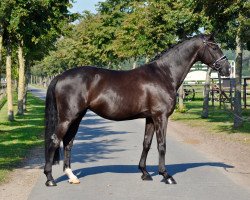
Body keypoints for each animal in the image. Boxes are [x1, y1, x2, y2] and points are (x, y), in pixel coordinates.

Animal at [44, 34, 230, 186]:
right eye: (214, 47)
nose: (227, 69)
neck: (163, 74)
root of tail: (60, 76)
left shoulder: (150, 118)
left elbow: (146, 143)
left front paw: (145, 173)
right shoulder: (161, 117)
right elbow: (161, 145)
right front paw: (166, 175)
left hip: (77, 117)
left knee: (68, 142)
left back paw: (72, 176)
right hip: (67, 118)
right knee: (55, 140)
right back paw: (50, 179)